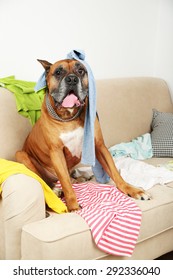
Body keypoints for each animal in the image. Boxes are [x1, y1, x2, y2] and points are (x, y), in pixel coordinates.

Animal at [16, 59, 151, 212]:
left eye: (81, 71)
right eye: (58, 72)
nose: (72, 79)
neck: (69, 117)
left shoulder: (99, 145)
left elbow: (114, 171)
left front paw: (131, 190)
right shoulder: (56, 153)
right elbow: (66, 184)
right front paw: (73, 206)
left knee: (67, 178)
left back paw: (80, 178)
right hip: (21, 155)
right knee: (47, 181)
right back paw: (56, 190)